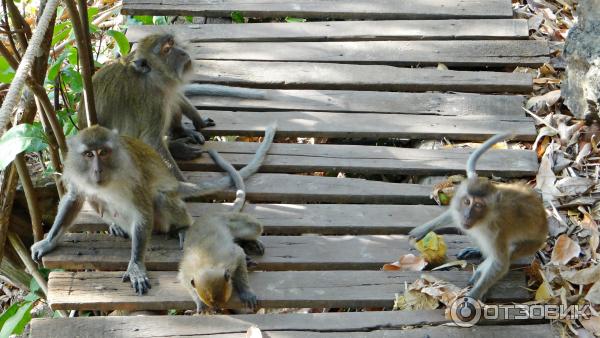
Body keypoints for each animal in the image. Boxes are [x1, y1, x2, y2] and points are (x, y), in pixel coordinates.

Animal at [177, 151, 264, 314]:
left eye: (222, 301)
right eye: (213, 304)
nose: (218, 309)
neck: (207, 264)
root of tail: (213, 214)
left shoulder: (230, 258)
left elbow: (239, 254)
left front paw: (245, 291)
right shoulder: (188, 271)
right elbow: (184, 279)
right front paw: (200, 303)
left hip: (231, 220)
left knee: (255, 227)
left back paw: (252, 242)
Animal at [408, 133, 548, 300]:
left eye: (478, 206)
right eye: (467, 202)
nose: (467, 215)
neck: (485, 218)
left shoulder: (497, 231)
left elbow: (500, 264)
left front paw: (472, 296)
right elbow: (454, 214)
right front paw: (423, 229)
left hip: (531, 244)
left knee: (510, 251)